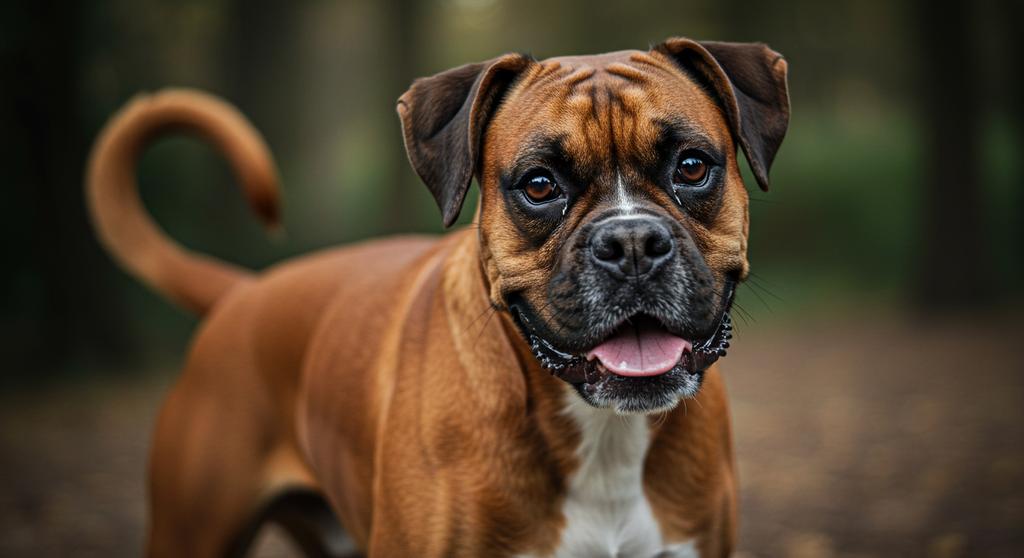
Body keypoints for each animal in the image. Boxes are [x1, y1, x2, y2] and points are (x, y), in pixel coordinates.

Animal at [88, 36, 790, 552]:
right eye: (539, 184)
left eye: (692, 166)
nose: (633, 242)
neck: (601, 432)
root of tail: (247, 291)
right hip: (189, 531)